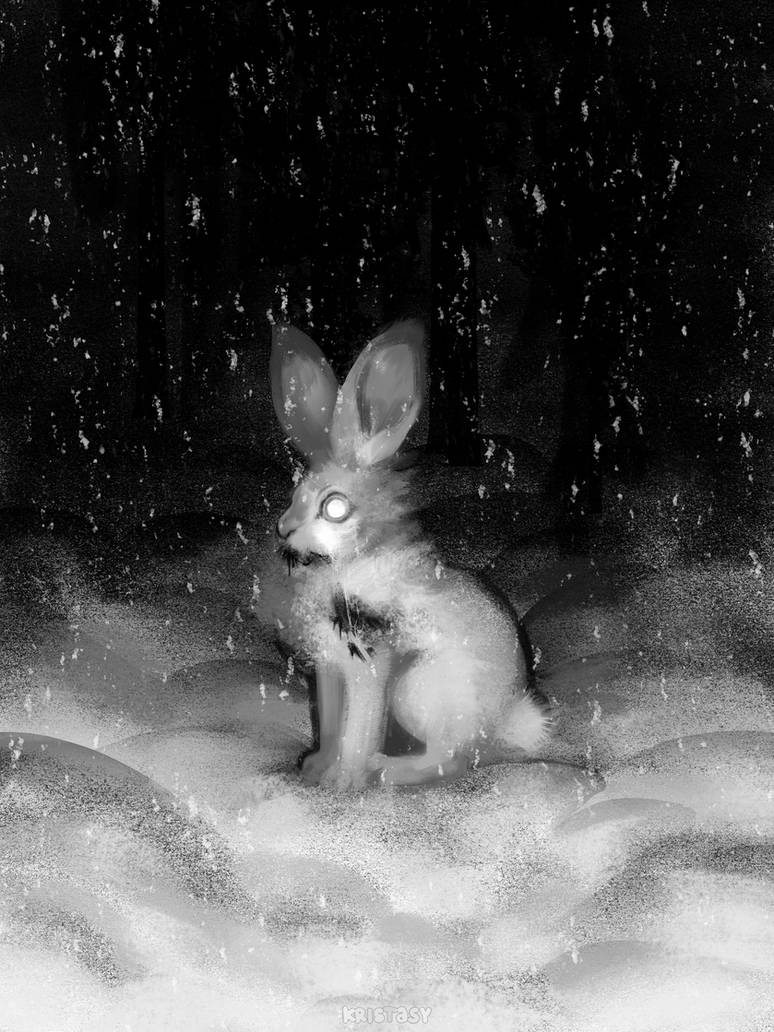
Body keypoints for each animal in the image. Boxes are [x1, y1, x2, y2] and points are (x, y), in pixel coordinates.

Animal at [266, 318, 549, 790]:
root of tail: (504, 722)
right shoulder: (329, 671)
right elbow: (331, 727)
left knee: (451, 760)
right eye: (293, 494)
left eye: (334, 508)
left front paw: (345, 782)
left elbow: (357, 732)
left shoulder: (370, 671)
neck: (345, 567)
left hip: (414, 691)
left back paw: (389, 770)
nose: (283, 528)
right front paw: (315, 770)